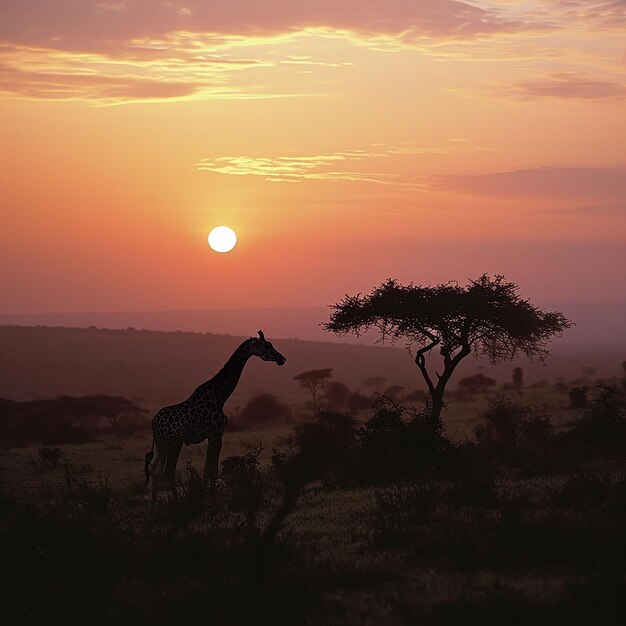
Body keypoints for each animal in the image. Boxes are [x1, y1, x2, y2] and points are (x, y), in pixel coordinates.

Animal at [144, 330, 286, 504]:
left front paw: (208, 499)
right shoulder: (215, 434)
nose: (282, 359)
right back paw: (177, 503)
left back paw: (153, 505)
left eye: (271, 344)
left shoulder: (216, 435)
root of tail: (153, 423)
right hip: (174, 442)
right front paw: (209, 501)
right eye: (266, 346)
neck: (220, 395)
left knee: (154, 469)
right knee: (168, 470)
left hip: (161, 444)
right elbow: (209, 469)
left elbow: (212, 469)